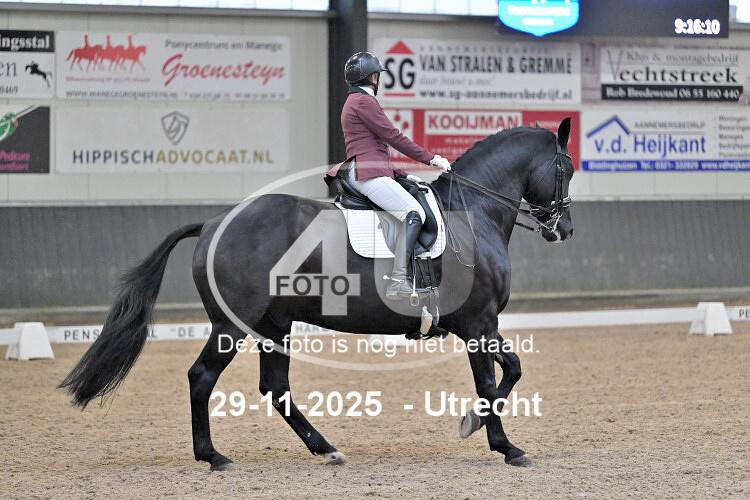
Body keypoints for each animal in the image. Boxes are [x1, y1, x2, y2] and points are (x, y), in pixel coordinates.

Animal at [60, 118, 575, 471]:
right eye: (565, 169)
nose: (564, 229)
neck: (474, 215)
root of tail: (212, 224)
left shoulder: (477, 324)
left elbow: (508, 371)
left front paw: (484, 432)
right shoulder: (478, 322)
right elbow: (496, 379)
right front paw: (501, 443)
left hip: (274, 326)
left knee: (275, 387)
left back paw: (325, 448)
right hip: (232, 325)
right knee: (202, 376)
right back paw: (214, 456)